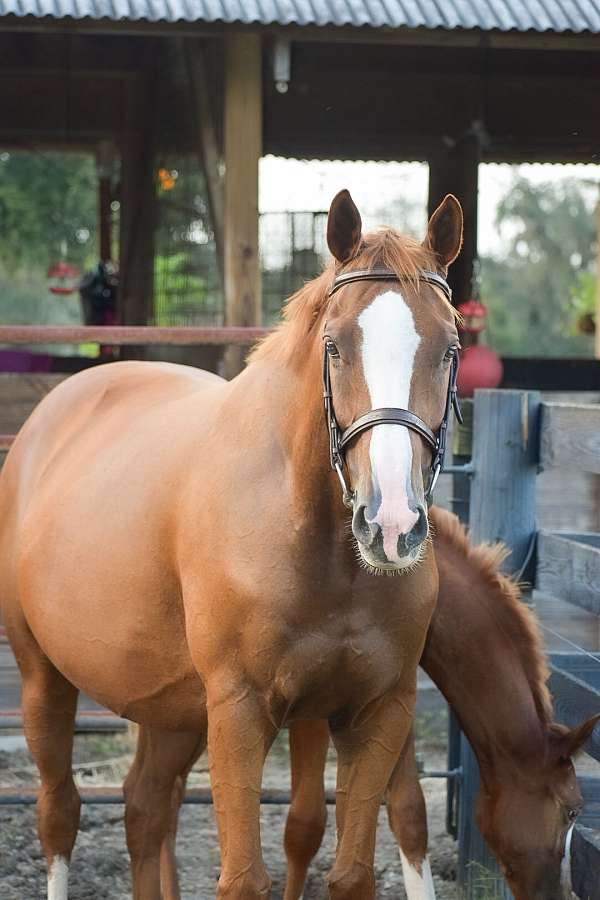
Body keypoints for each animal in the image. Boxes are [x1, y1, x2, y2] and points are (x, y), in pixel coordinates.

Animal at [0, 192, 464, 900]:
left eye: (448, 348)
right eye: (335, 346)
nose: (392, 523)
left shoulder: (377, 712)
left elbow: (350, 874)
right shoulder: (240, 713)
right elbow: (244, 879)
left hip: (171, 710)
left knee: (145, 807)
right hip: (41, 677)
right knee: (60, 815)